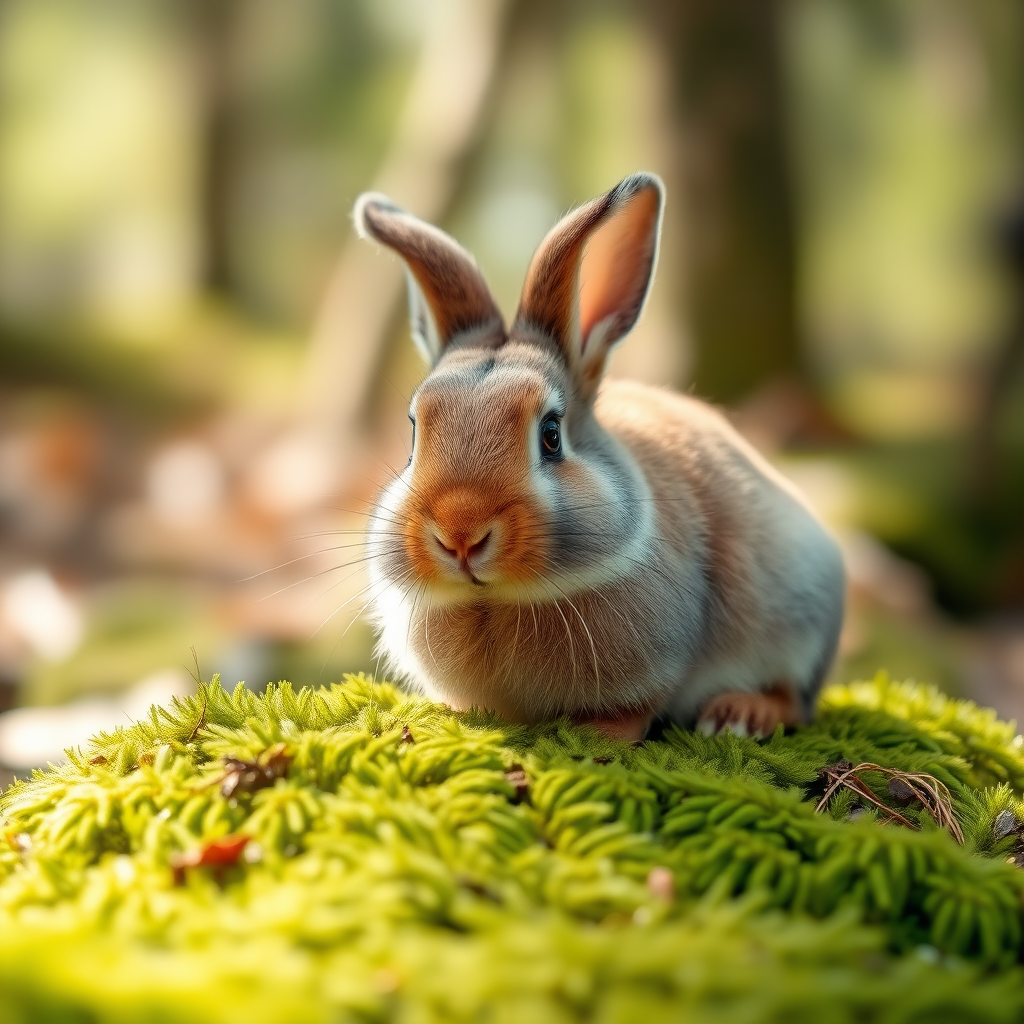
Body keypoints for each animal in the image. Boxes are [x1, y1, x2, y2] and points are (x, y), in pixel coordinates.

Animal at [354, 172, 845, 742]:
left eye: (550, 434)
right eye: (414, 433)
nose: (461, 535)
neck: (494, 599)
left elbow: (634, 710)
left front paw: (599, 737)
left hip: (800, 611)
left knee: (794, 699)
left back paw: (739, 716)